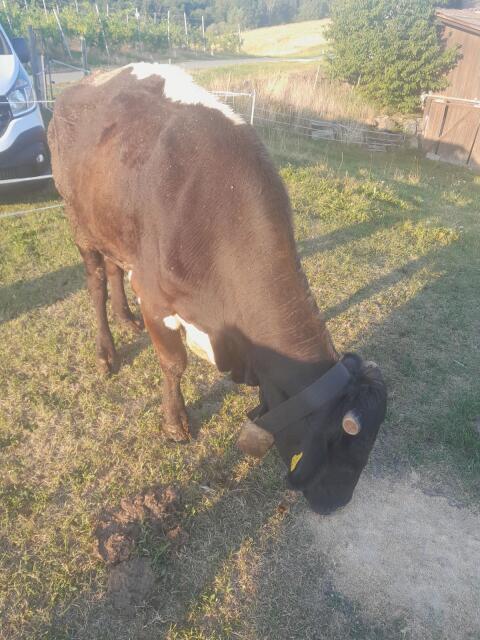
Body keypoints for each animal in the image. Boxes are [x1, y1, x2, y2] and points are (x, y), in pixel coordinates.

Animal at [48, 63, 387, 515]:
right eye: (339, 445)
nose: (336, 503)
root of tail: (82, 84)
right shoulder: (155, 297)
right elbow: (174, 364)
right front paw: (176, 424)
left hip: (113, 226)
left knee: (116, 270)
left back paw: (126, 319)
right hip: (78, 222)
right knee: (97, 283)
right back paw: (106, 352)